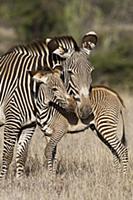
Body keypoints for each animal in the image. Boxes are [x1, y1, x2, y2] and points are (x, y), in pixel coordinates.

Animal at [0, 31, 97, 178]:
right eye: (70, 72)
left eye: (91, 71)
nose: (86, 111)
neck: (32, 87)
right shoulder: (12, 121)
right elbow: (7, 155)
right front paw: (4, 181)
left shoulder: (29, 124)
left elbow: (22, 155)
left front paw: (19, 180)